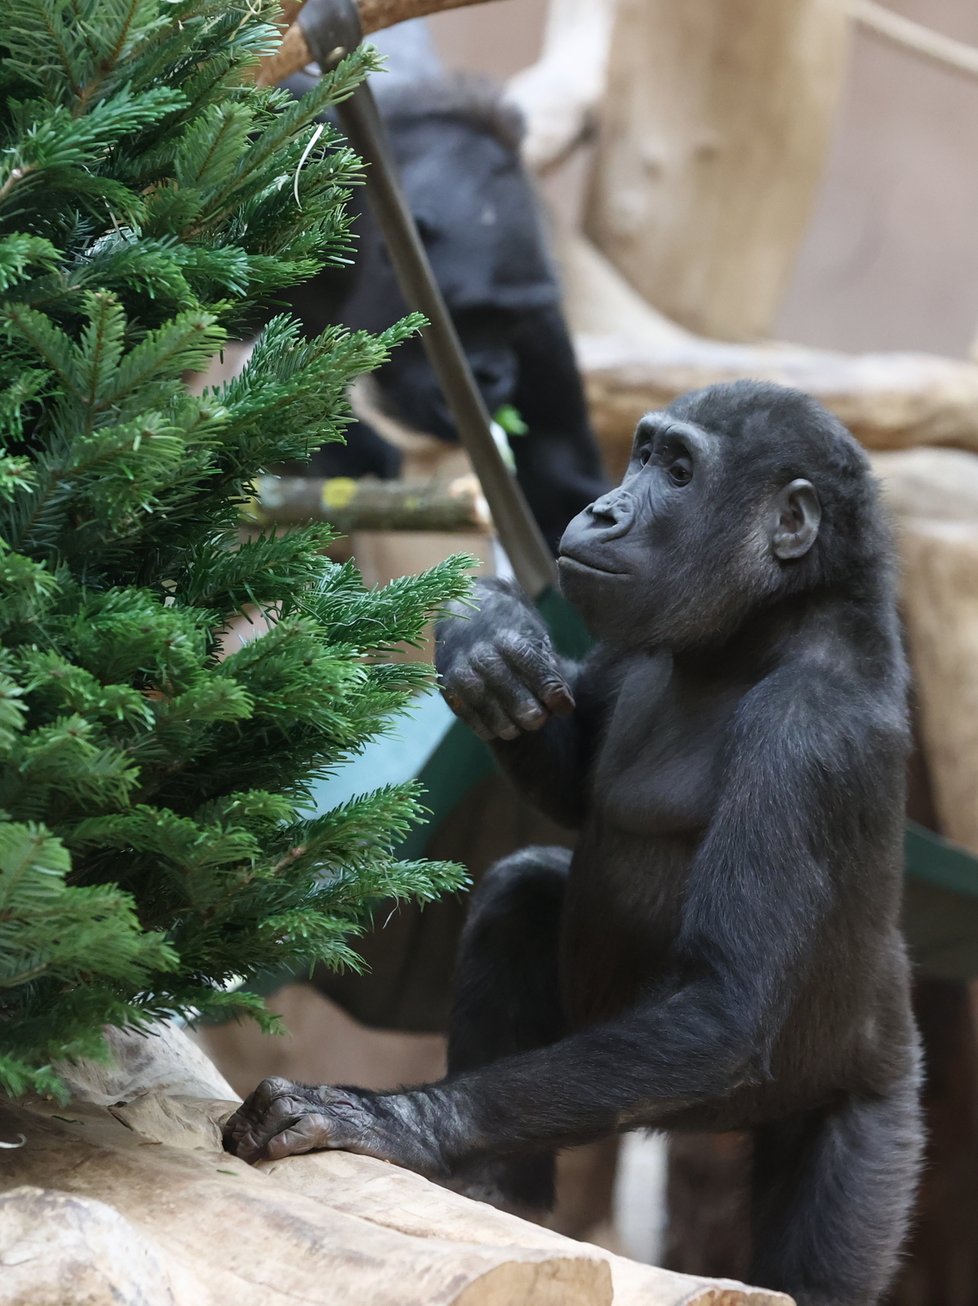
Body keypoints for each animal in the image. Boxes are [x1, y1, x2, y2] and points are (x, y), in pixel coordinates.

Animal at [224, 381, 919, 1306]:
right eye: (643, 454)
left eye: (680, 471)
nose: (604, 509)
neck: (766, 625)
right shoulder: (623, 640)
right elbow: (570, 776)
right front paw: (485, 631)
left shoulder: (808, 736)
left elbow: (723, 1006)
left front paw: (390, 1119)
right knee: (522, 889)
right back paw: (492, 1192)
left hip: (872, 1107)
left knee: (826, 1252)